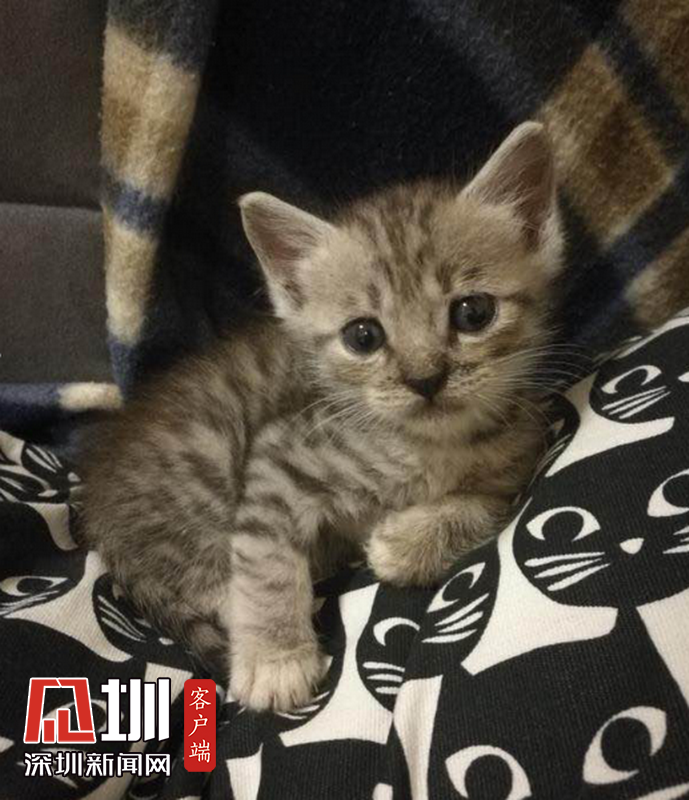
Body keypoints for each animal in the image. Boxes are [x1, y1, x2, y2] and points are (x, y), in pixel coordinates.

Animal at [80, 121, 564, 712]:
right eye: (363, 336)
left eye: (474, 313)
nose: (425, 379)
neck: (427, 445)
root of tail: (94, 498)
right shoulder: (278, 455)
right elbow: (265, 558)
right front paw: (275, 657)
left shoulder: (519, 453)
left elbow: (483, 503)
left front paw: (406, 544)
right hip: (205, 458)